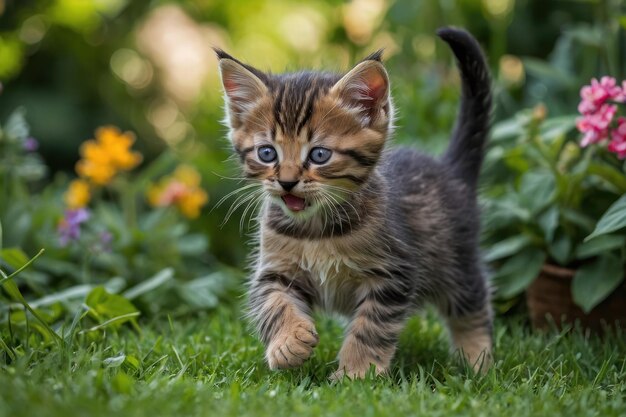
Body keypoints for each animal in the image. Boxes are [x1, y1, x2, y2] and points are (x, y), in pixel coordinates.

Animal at [214, 26, 492, 376]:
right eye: (267, 153)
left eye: (319, 155)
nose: (287, 182)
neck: (316, 230)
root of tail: (449, 168)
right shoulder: (274, 270)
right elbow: (274, 303)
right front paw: (288, 342)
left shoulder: (393, 274)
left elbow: (371, 327)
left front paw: (356, 373)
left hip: (456, 259)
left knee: (473, 304)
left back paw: (477, 361)